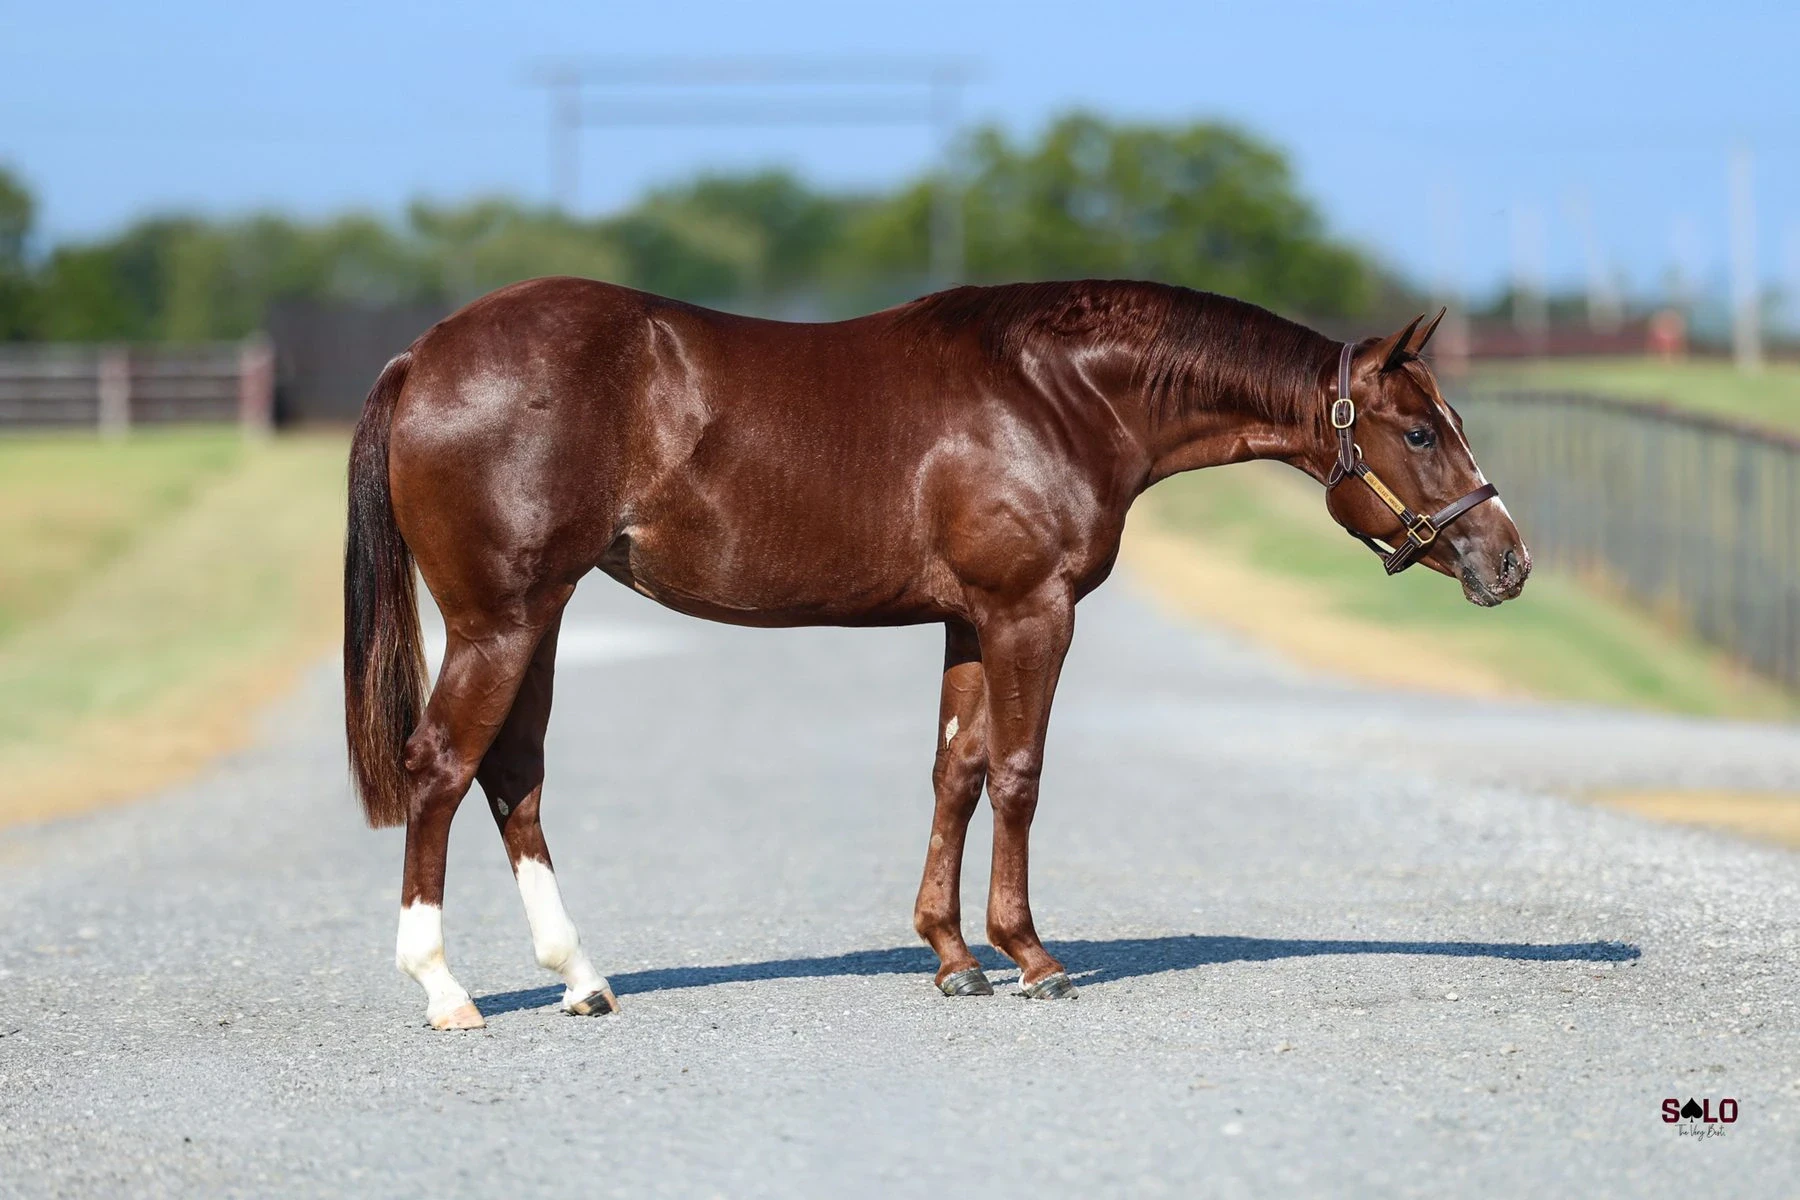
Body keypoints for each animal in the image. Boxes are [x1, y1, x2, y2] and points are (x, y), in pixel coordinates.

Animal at [343, 277, 1529, 1029]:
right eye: (1419, 432)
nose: (1508, 561)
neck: (1056, 391)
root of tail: (422, 355)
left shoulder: (969, 620)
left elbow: (956, 771)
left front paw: (953, 958)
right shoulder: (1031, 612)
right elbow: (1018, 774)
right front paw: (1031, 957)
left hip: (538, 616)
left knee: (512, 776)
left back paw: (581, 979)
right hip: (501, 618)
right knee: (441, 767)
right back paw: (443, 989)